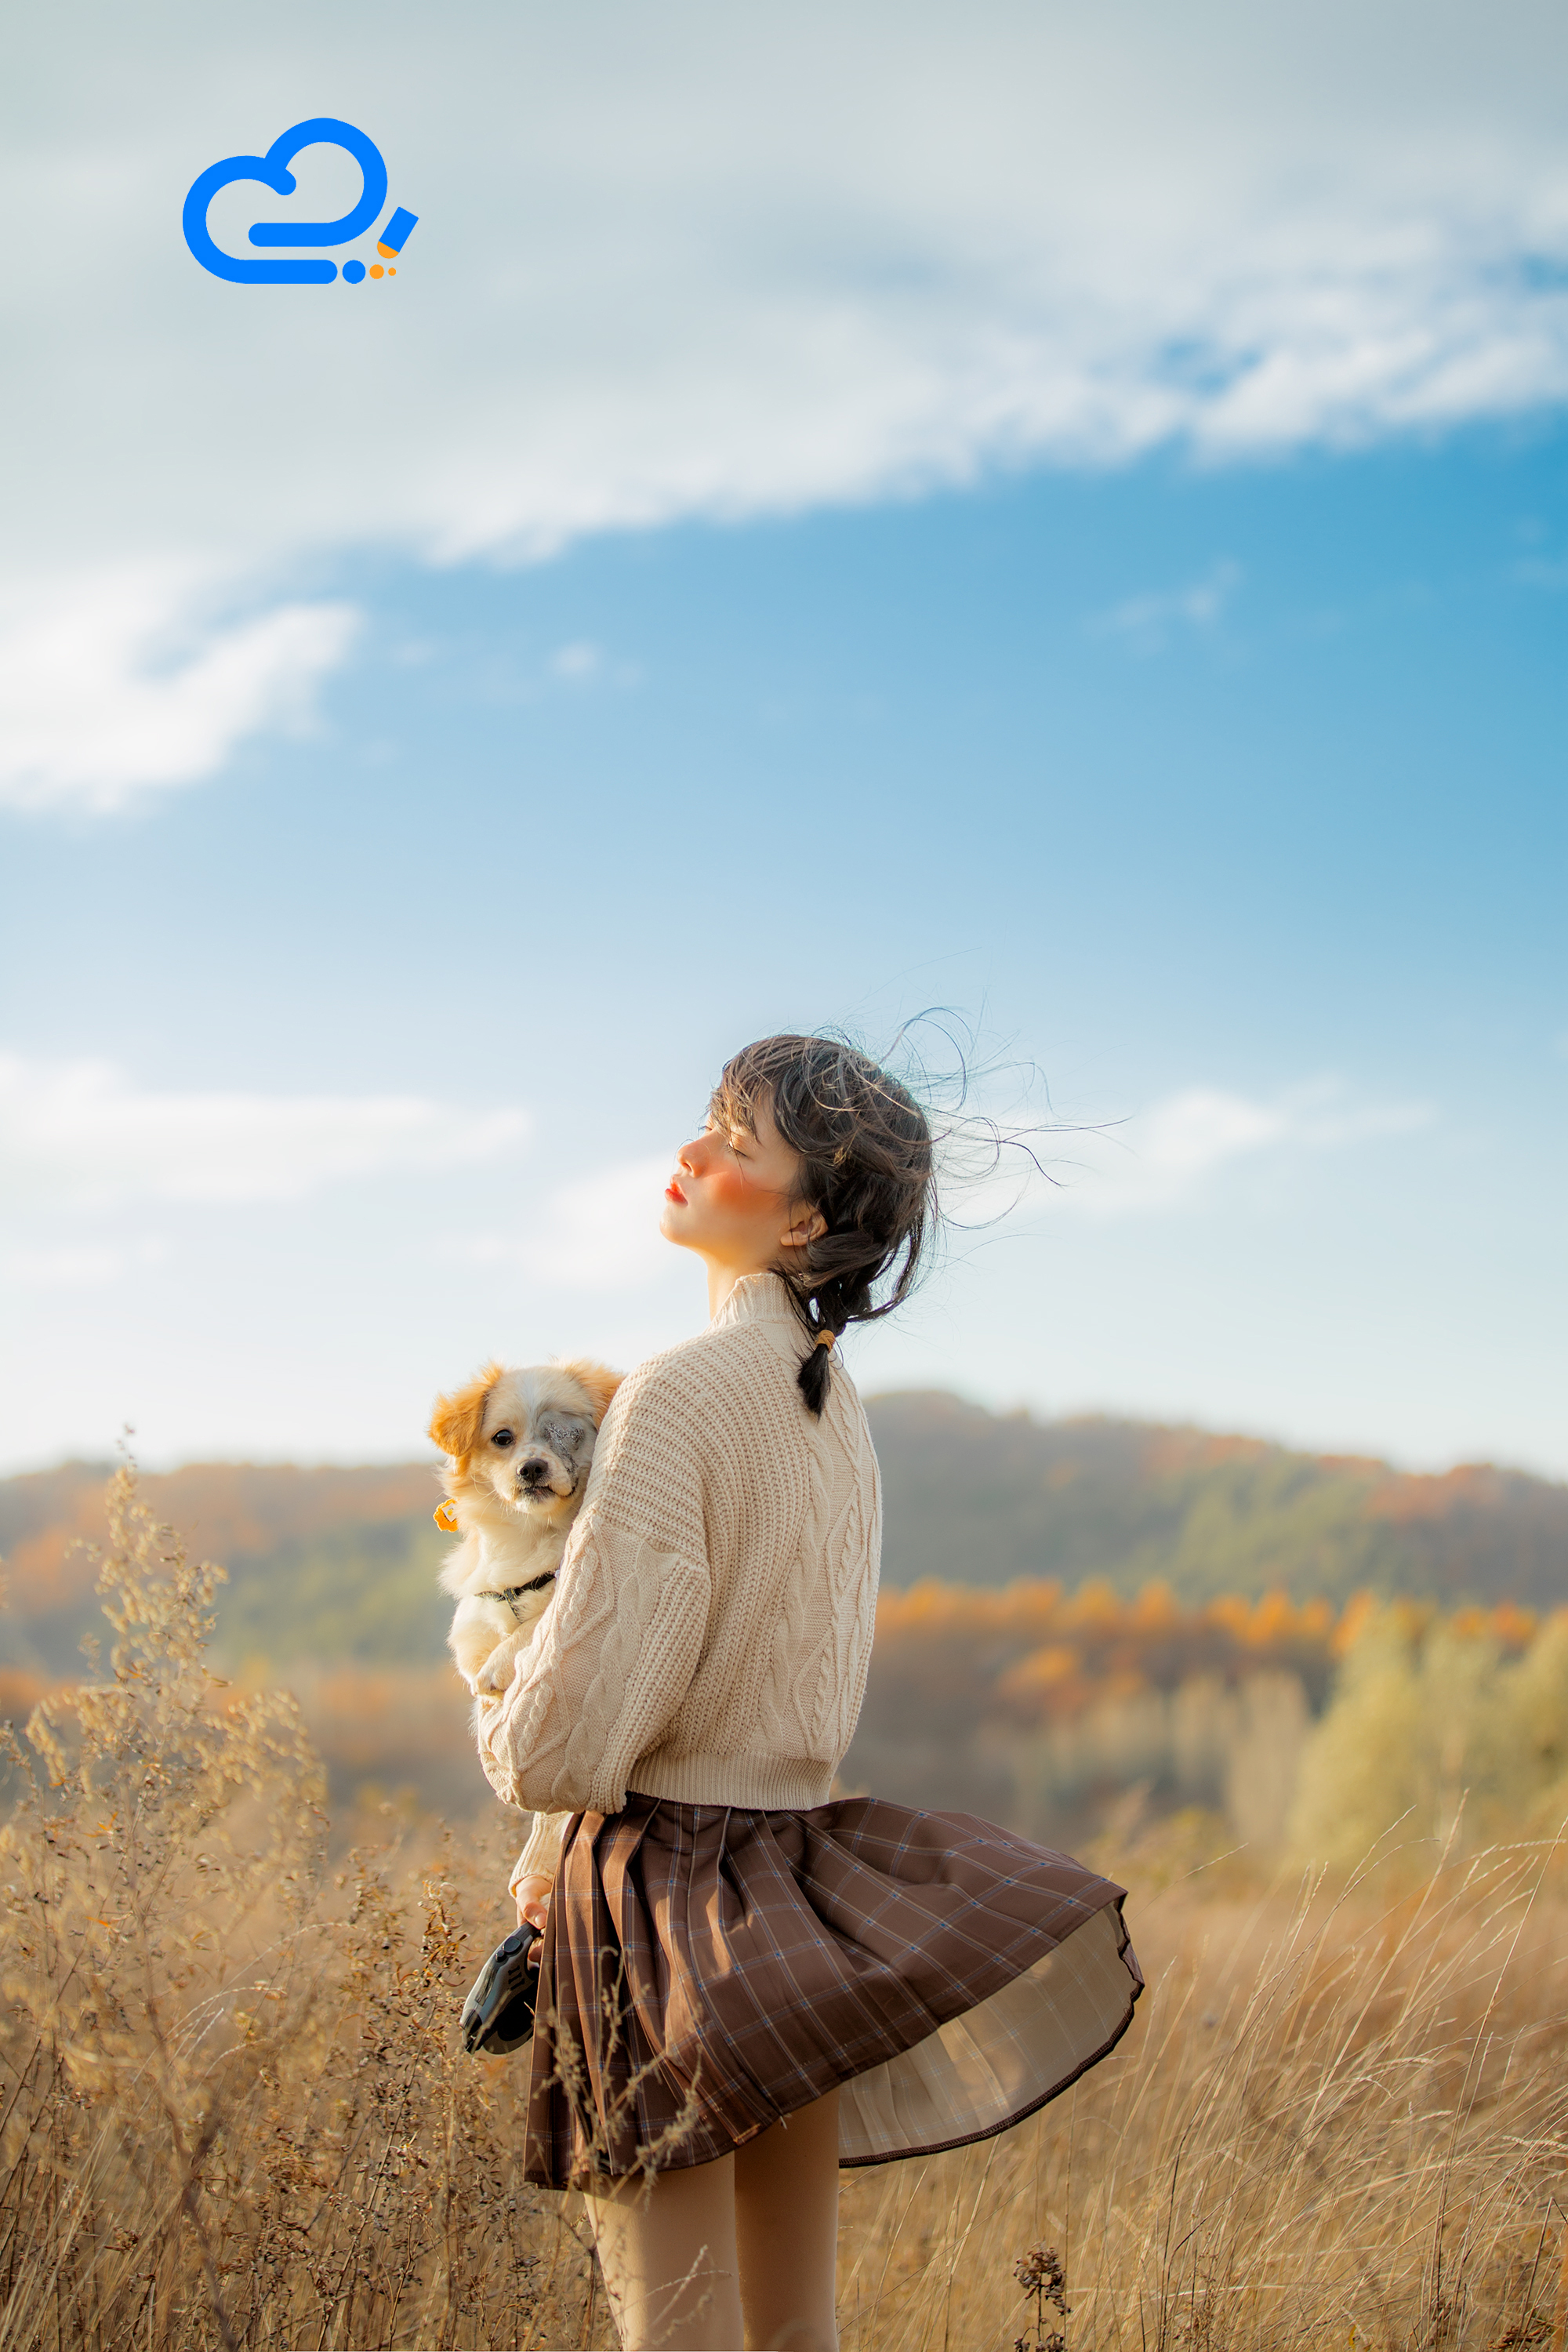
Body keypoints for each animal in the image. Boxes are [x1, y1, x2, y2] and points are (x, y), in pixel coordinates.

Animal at [432, 1364, 630, 1693]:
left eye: (564, 1433)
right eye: (502, 1437)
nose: (532, 1468)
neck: (531, 1535)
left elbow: (538, 1624)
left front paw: (496, 1666)